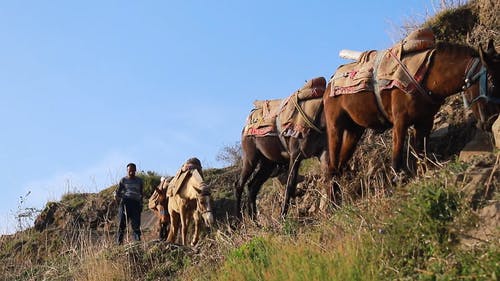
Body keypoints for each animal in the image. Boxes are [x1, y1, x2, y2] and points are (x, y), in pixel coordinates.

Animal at [236, 77, 330, 219]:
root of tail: (245, 126)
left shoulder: (322, 152)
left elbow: (327, 178)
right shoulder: (295, 155)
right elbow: (290, 185)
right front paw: (282, 216)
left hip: (268, 163)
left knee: (252, 187)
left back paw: (254, 221)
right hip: (250, 157)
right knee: (240, 185)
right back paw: (238, 220)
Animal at [322, 38, 500, 179]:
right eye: (492, 80)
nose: (492, 121)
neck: (429, 77)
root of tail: (330, 82)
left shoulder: (425, 122)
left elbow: (420, 152)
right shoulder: (400, 121)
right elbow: (397, 154)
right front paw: (397, 179)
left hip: (354, 131)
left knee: (339, 166)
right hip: (335, 127)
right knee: (331, 168)